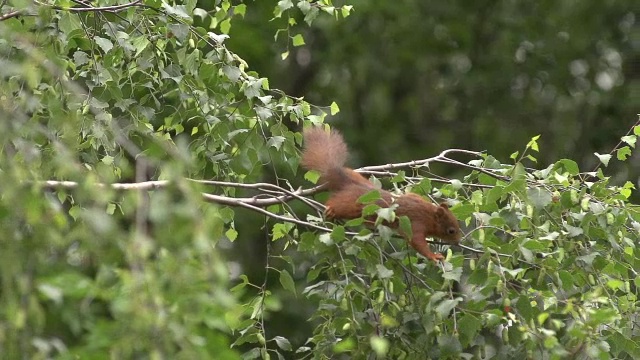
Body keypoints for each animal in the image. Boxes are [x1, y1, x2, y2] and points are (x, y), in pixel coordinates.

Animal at [302, 127, 462, 262]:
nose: (458, 242)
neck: (429, 214)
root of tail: (351, 184)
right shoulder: (416, 223)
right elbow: (416, 241)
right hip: (352, 205)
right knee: (338, 205)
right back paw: (330, 210)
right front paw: (434, 256)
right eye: (451, 231)